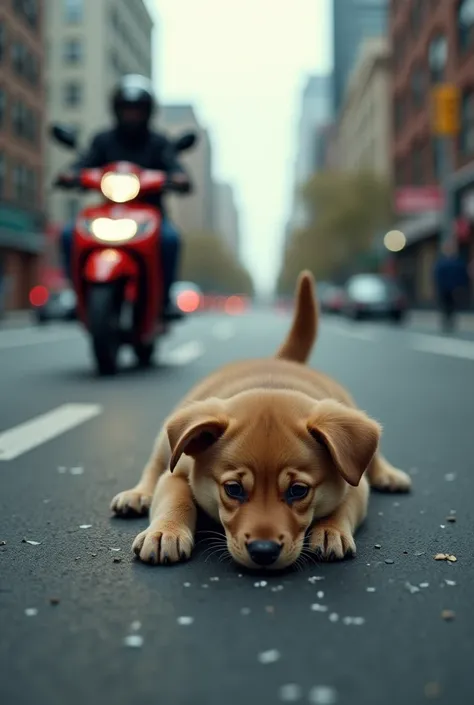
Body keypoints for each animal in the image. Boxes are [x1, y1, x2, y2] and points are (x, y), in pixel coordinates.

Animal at [111, 272, 412, 568]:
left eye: (298, 491)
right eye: (233, 489)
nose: (263, 551)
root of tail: (280, 359)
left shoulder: (354, 483)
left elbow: (344, 504)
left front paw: (330, 530)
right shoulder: (178, 473)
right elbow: (175, 500)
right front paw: (166, 532)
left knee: (374, 455)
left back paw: (389, 475)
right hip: (168, 443)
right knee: (154, 467)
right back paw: (137, 495)